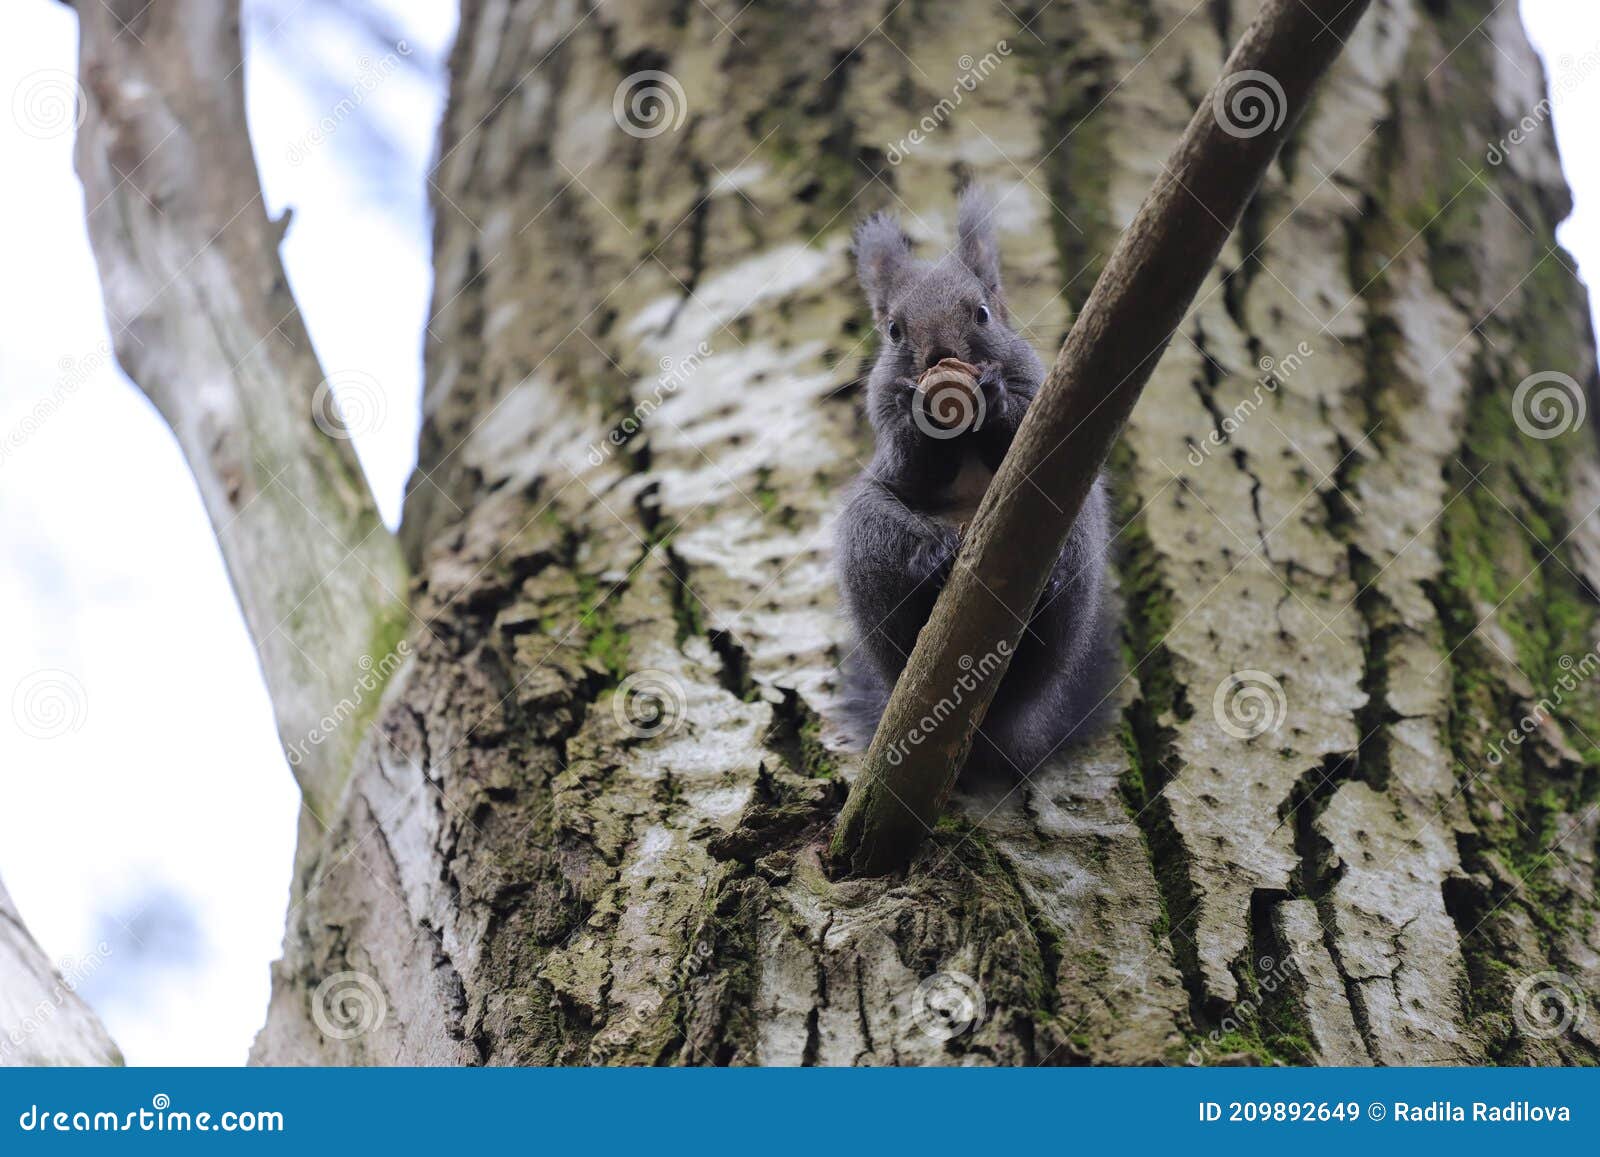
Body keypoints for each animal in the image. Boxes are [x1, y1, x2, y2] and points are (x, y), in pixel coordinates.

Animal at [834, 188, 1115, 780]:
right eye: (894, 330)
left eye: (983, 313)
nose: (941, 356)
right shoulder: (888, 432)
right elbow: (913, 463)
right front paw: (922, 409)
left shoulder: (1039, 391)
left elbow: (1019, 426)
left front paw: (990, 395)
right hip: (869, 538)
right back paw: (934, 556)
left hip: (1073, 523)